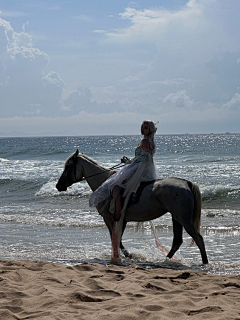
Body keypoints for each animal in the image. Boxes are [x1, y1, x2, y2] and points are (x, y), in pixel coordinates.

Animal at [55, 150, 208, 264]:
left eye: (68, 166)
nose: (58, 185)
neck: (105, 184)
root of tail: (186, 183)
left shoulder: (109, 219)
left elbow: (116, 238)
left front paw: (125, 255)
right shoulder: (121, 220)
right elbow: (118, 238)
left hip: (183, 219)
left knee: (198, 238)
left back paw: (204, 263)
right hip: (176, 218)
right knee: (177, 241)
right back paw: (166, 260)